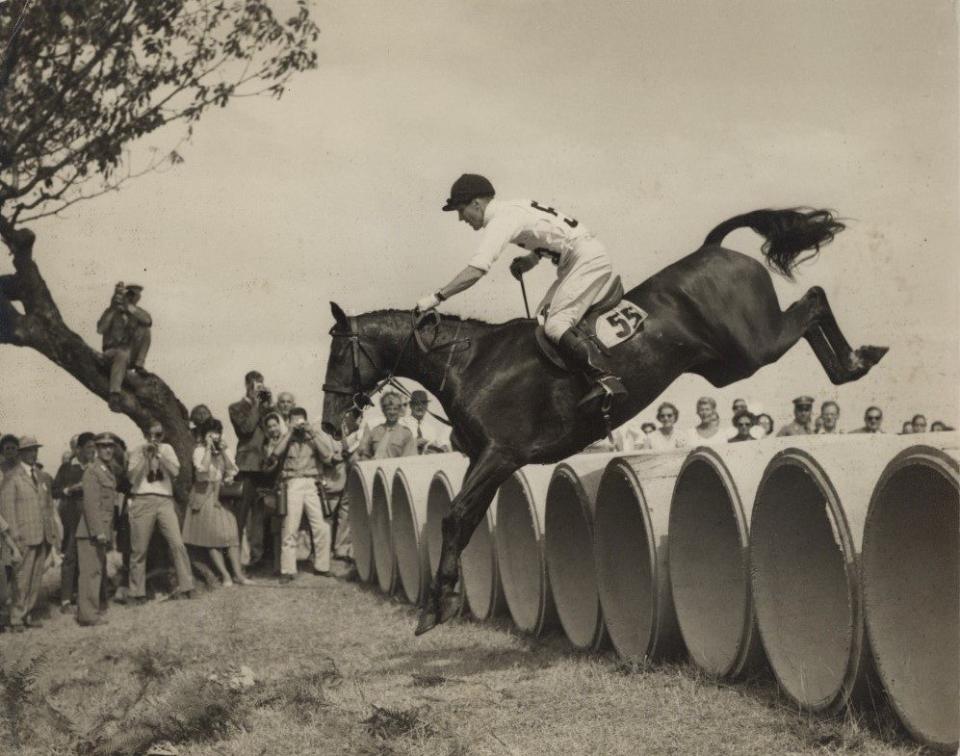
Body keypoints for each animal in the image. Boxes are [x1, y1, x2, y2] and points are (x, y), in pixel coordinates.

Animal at [320, 205, 884, 632]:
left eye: (339, 354)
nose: (329, 422)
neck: (469, 363)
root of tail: (714, 249)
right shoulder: (486, 459)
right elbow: (463, 519)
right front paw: (445, 598)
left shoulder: (499, 455)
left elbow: (456, 516)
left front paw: (436, 604)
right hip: (725, 367)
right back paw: (855, 361)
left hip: (753, 347)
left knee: (812, 302)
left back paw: (859, 360)